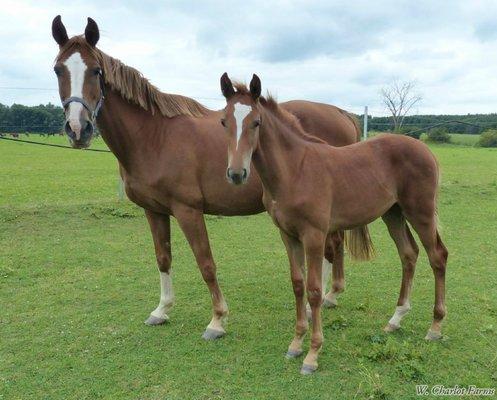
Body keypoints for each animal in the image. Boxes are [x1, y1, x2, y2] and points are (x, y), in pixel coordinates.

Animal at [220, 72, 446, 376]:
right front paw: (295, 343)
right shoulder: (287, 235)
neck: (294, 170)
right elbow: (297, 284)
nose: (236, 173)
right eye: (223, 121)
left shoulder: (314, 235)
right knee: (409, 254)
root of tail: (425, 149)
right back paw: (395, 319)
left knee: (437, 256)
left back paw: (435, 326)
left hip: (420, 212)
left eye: (256, 122)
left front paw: (312, 354)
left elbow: (315, 290)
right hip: (393, 214)